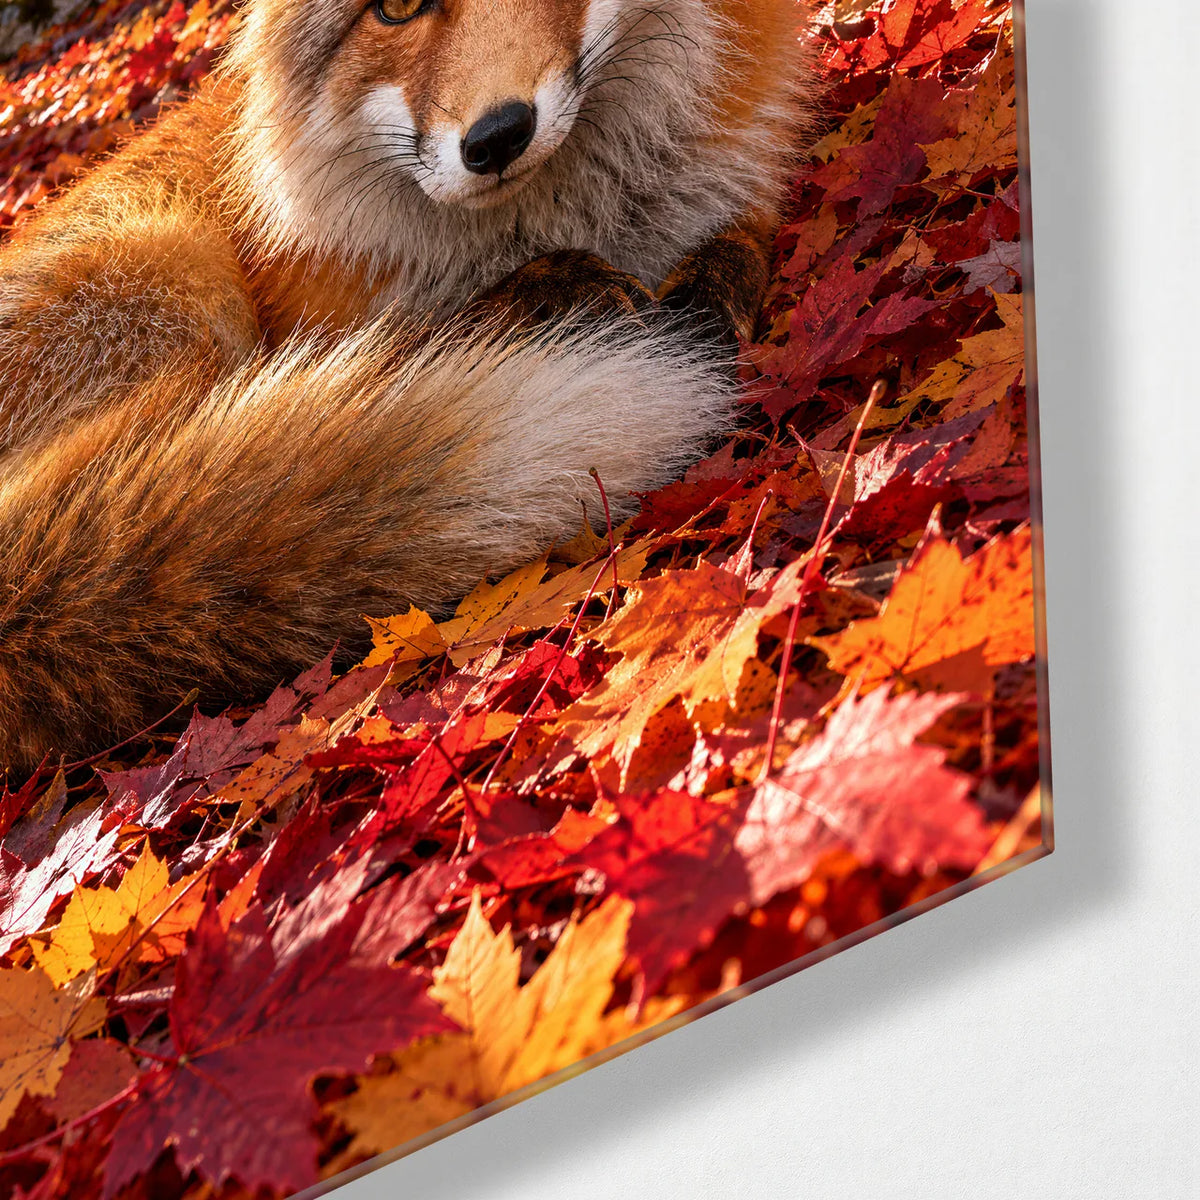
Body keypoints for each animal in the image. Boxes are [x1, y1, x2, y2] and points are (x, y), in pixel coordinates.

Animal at [0, 0, 815, 774]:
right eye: (394, 9)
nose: (496, 137)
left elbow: (736, 246)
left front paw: (707, 293)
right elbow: (432, 333)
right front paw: (551, 296)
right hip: (178, 283)